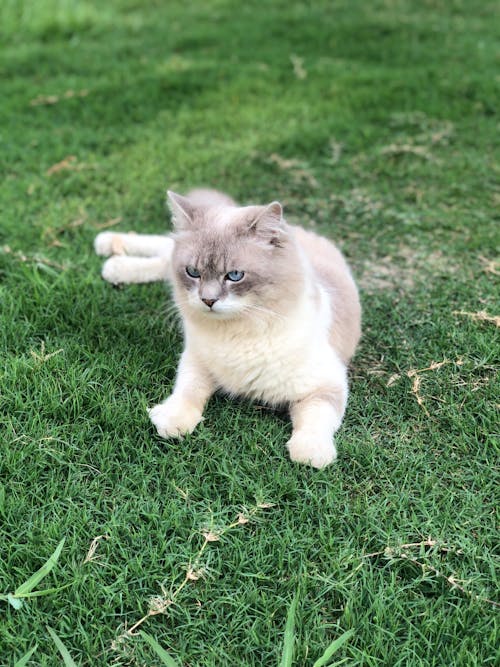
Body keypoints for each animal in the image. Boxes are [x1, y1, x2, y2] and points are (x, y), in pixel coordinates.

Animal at [94, 189, 360, 470]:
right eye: (193, 272)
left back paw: (112, 261)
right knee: (163, 248)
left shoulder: (326, 387)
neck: (240, 329)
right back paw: (109, 249)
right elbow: (187, 391)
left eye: (234, 276)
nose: (208, 300)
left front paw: (311, 454)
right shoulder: (196, 362)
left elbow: (316, 420)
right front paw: (172, 421)